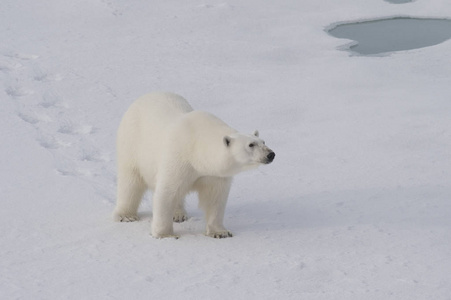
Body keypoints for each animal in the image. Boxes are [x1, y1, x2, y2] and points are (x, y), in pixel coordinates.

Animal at [114, 92, 276, 238]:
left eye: (263, 141)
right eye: (251, 145)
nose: (271, 154)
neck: (197, 150)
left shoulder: (214, 174)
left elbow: (214, 198)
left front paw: (220, 232)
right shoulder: (178, 158)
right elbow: (166, 193)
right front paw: (165, 234)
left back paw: (179, 214)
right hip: (132, 144)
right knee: (130, 182)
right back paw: (126, 215)